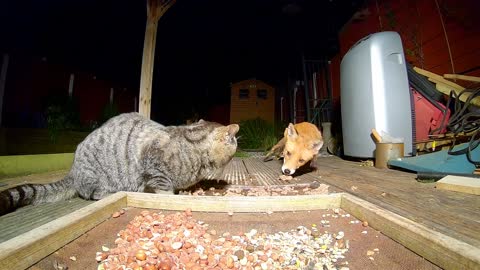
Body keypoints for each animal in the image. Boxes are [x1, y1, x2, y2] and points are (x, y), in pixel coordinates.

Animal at [0, 113, 240, 216]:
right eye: (235, 142)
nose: (237, 143)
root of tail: (73, 171)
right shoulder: (152, 164)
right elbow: (164, 188)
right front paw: (171, 197)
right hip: (96, 176)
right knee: (93, 194)